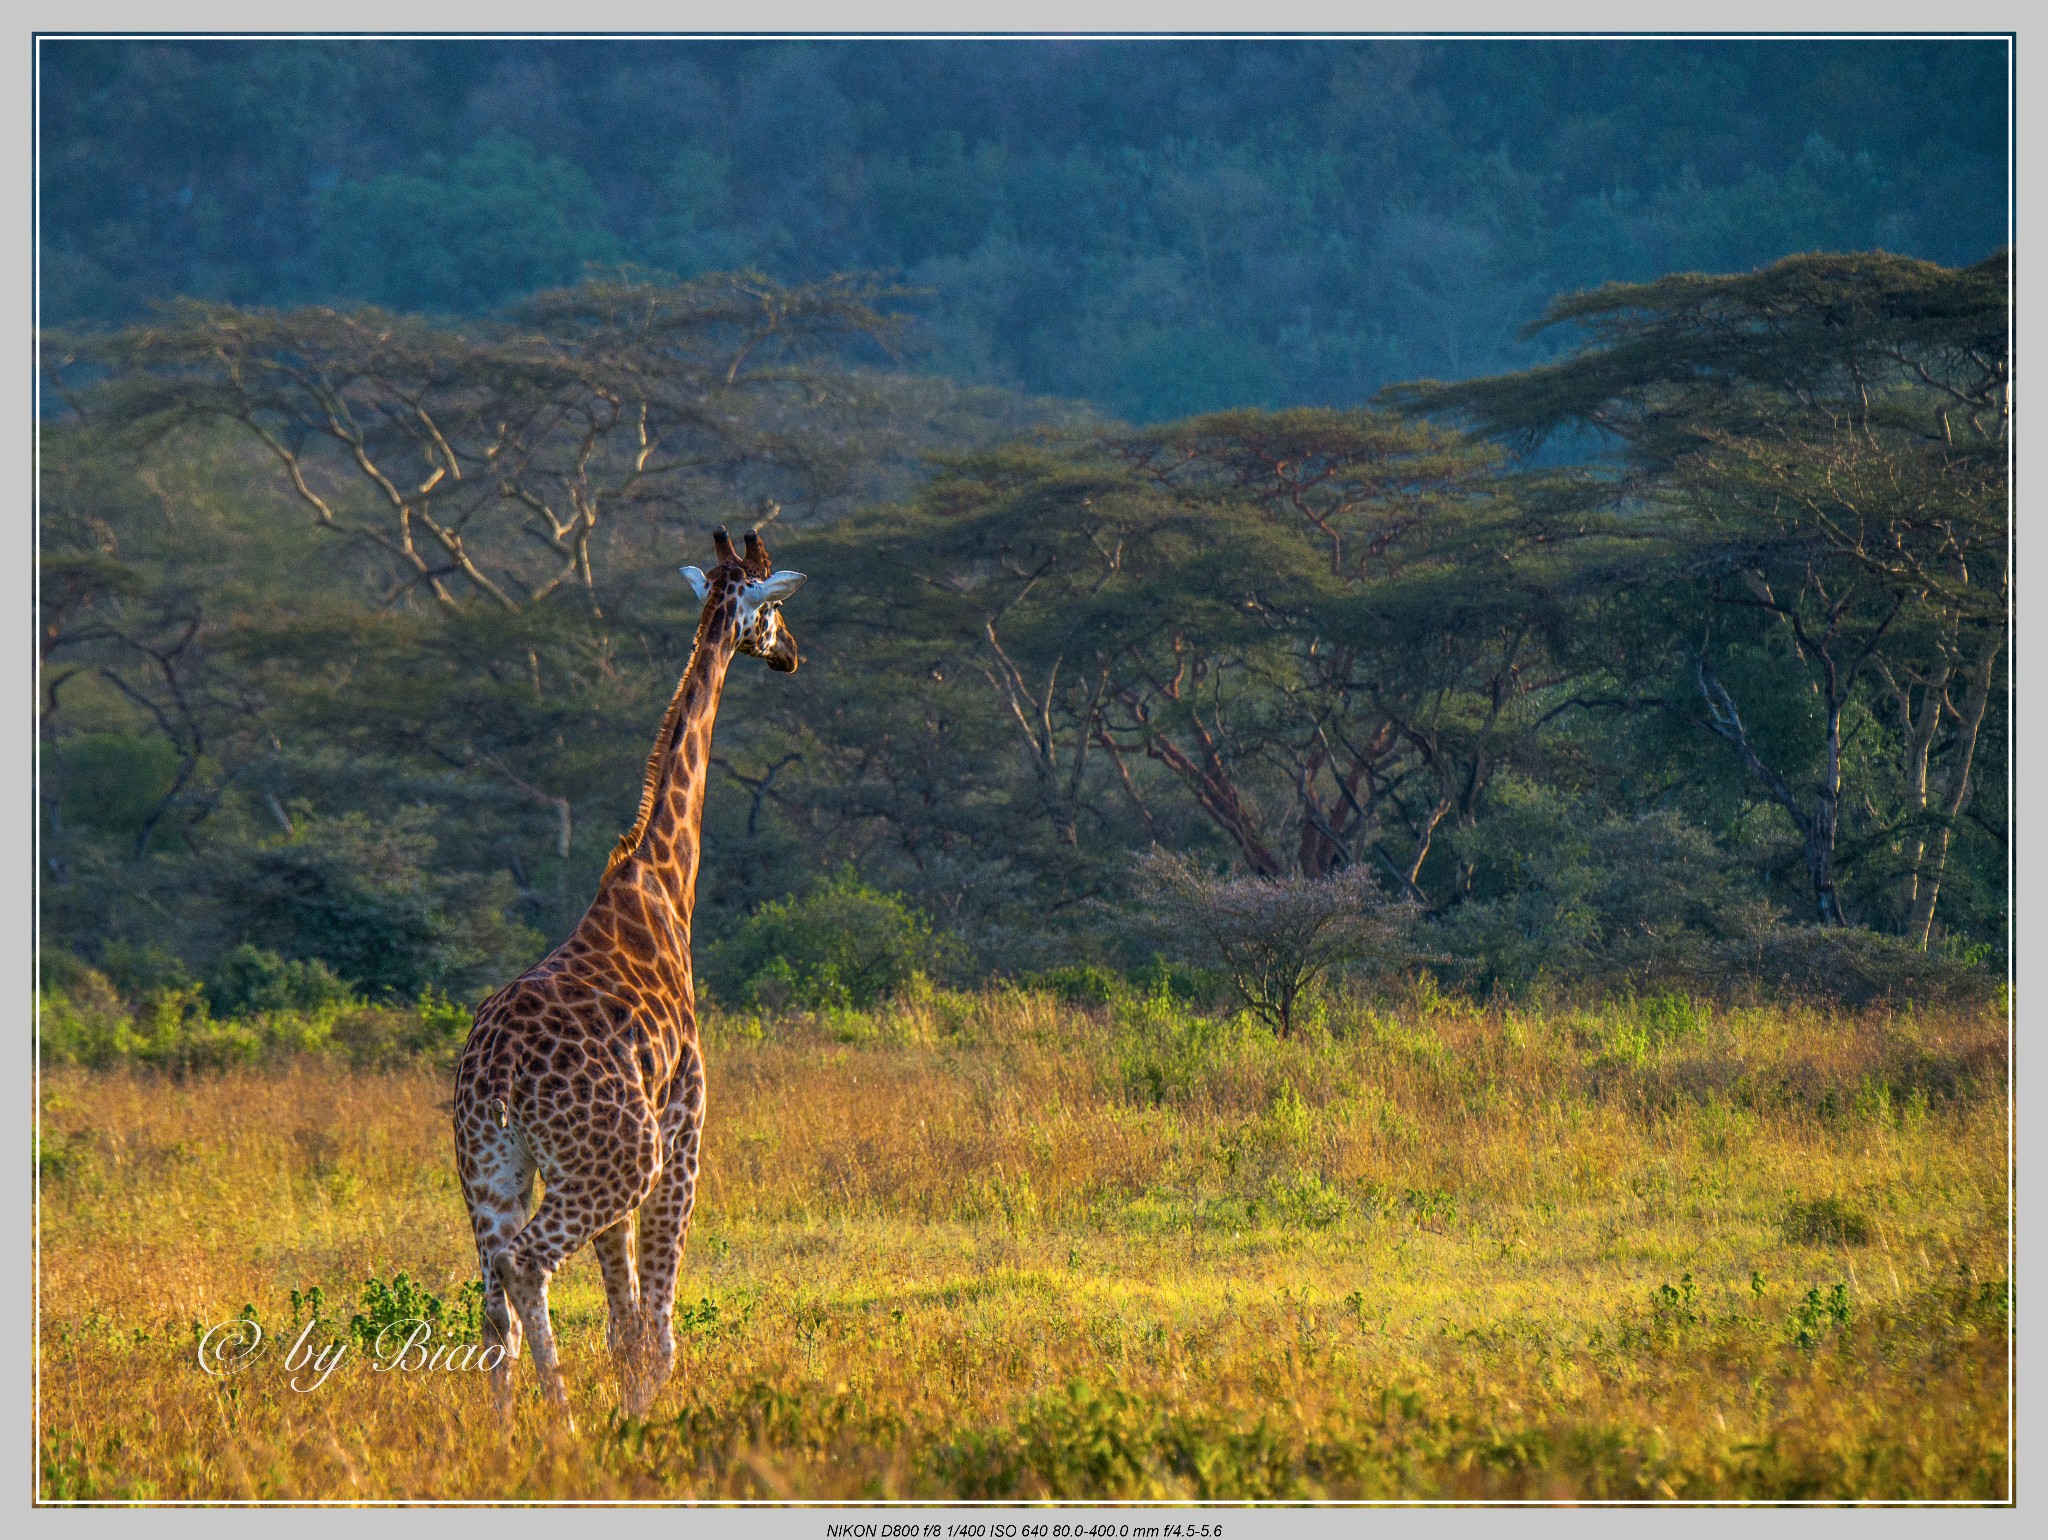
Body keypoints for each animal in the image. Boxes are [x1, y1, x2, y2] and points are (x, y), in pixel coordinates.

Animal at [452, 524, 802, 1425]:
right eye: (773, 610)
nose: (791, 656)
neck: (660, 883)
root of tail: (497, 1070)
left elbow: (622, 1324)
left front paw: (631, 1407)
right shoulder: (683, 1125)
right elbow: (658, 1321)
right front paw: (643, 1413)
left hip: (490, 1166)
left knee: (491, 1297)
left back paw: (502, 1431)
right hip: (617, 1157)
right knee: (527, 1265)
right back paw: (562, 1427)